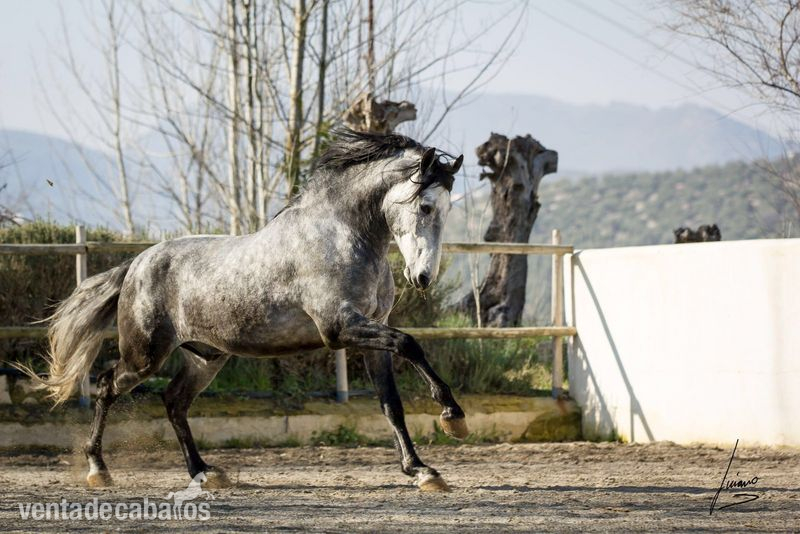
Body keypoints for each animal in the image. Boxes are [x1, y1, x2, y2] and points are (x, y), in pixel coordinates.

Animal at [20, 129, 465, 492]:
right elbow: (409, 344)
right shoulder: (340, 327)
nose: (422, 277)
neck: (341, 236)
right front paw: (452, 416)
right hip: (145, 355)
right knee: (107, 385)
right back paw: (98, 469)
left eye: (447, 211)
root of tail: (137, 264)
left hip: (206, 357)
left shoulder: (371, 332)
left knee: (173, 401)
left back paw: (204, 472)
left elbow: (391, 402)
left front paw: (423, 471)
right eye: (425, 207)